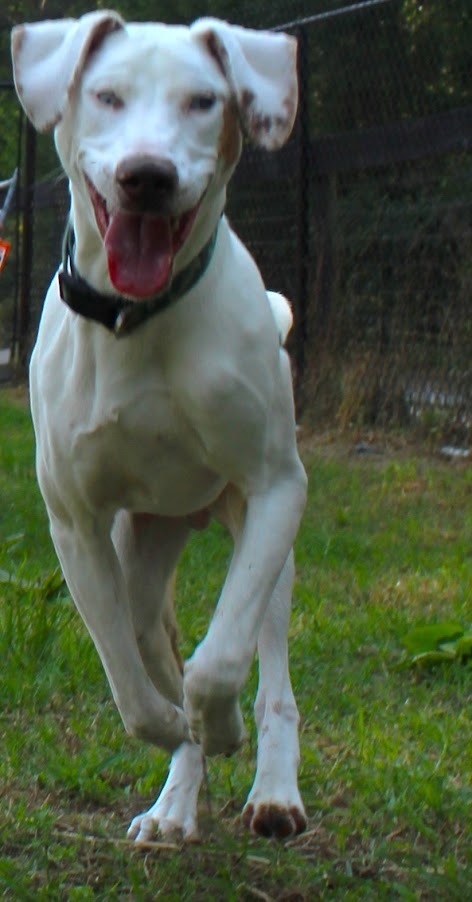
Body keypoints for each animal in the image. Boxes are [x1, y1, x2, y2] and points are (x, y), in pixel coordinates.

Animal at [12, 10, 308, 844]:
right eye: (106, 95)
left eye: (204, 101)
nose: (147, 174)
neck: (137, 323)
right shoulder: (77, 525)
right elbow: (133, 688)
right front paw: (180, 734)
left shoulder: (276, 488)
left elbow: (221, 661)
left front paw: (223, 726)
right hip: (143, 552)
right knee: (153, 643)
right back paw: (175, 803)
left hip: (267, 546)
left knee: (269, 670)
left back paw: (273, 789)